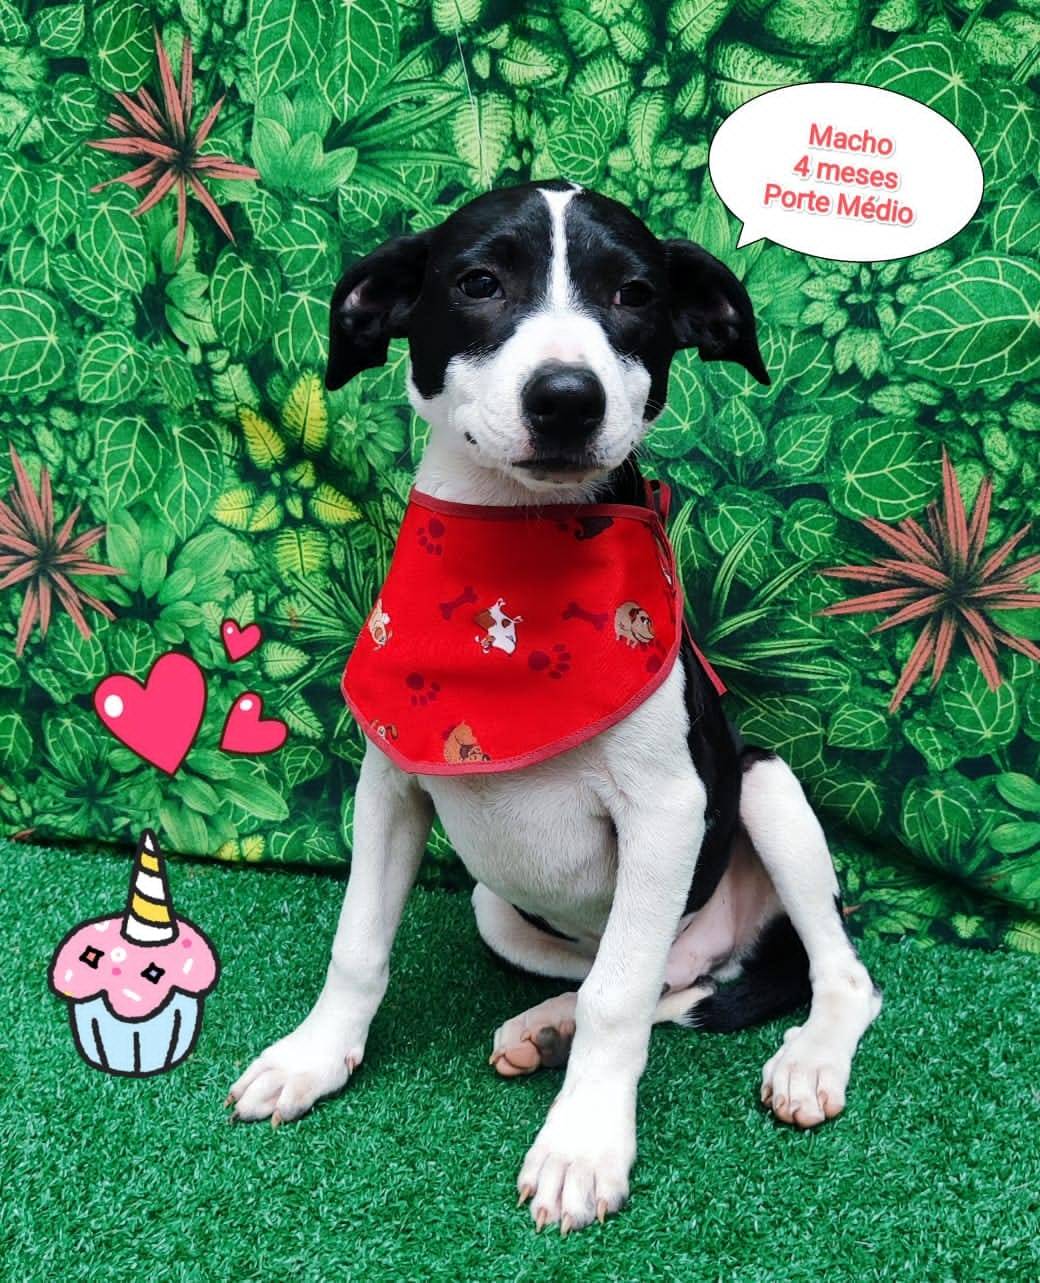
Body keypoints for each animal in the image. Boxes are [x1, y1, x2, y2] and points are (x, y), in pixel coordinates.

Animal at [228, 179, 881, 1233]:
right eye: (478, 284)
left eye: (635, 295)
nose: (568, 397)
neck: (516, 547)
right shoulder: (392, 784)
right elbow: (359, 943)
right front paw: (314, 1057)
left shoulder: (669, 810)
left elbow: (620, 1000)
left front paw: (583, 1145)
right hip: (499, 904)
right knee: (655, 978)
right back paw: (546, 1025)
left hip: (766, 789)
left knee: (823, 975)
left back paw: (808, 1059)